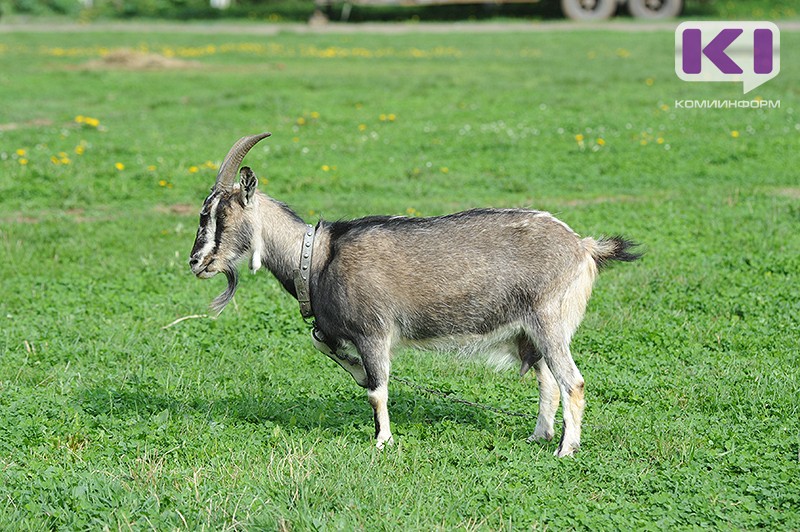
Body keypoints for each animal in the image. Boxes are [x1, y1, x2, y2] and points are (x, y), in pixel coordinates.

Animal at [191, 133, 640, 458]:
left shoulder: (373, 332)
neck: (317, 257)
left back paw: (566, 449)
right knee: (548, 380)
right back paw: (540, 436)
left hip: (550, 321)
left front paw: (383, 440)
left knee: (572, 382)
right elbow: (327, 347)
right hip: (529, 331)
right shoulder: (337, 330)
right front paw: (355, 371)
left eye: (220, 214)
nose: (197, 261)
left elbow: (377, 390)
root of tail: (583, 247)